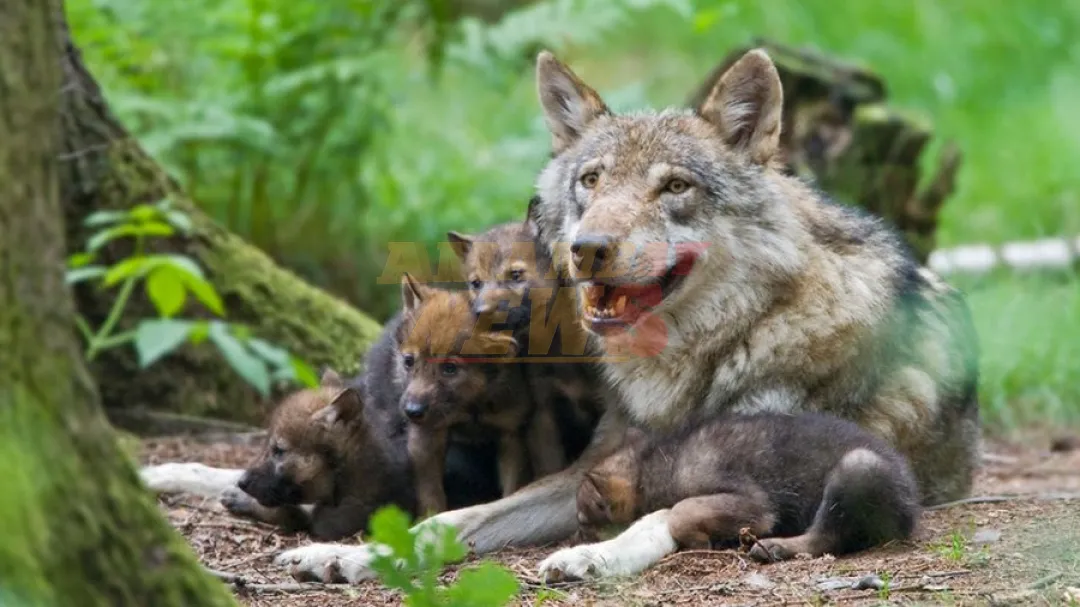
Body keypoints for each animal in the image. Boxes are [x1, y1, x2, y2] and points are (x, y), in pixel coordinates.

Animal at [572, 412, 919, 573]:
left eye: (583, 522)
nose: (575, 538)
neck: (657, 464)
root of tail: (910, 511)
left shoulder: (754, 504)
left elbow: (681, 511)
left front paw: (698, 542)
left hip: (857, 466)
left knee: (825, 537)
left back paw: (775, 547)